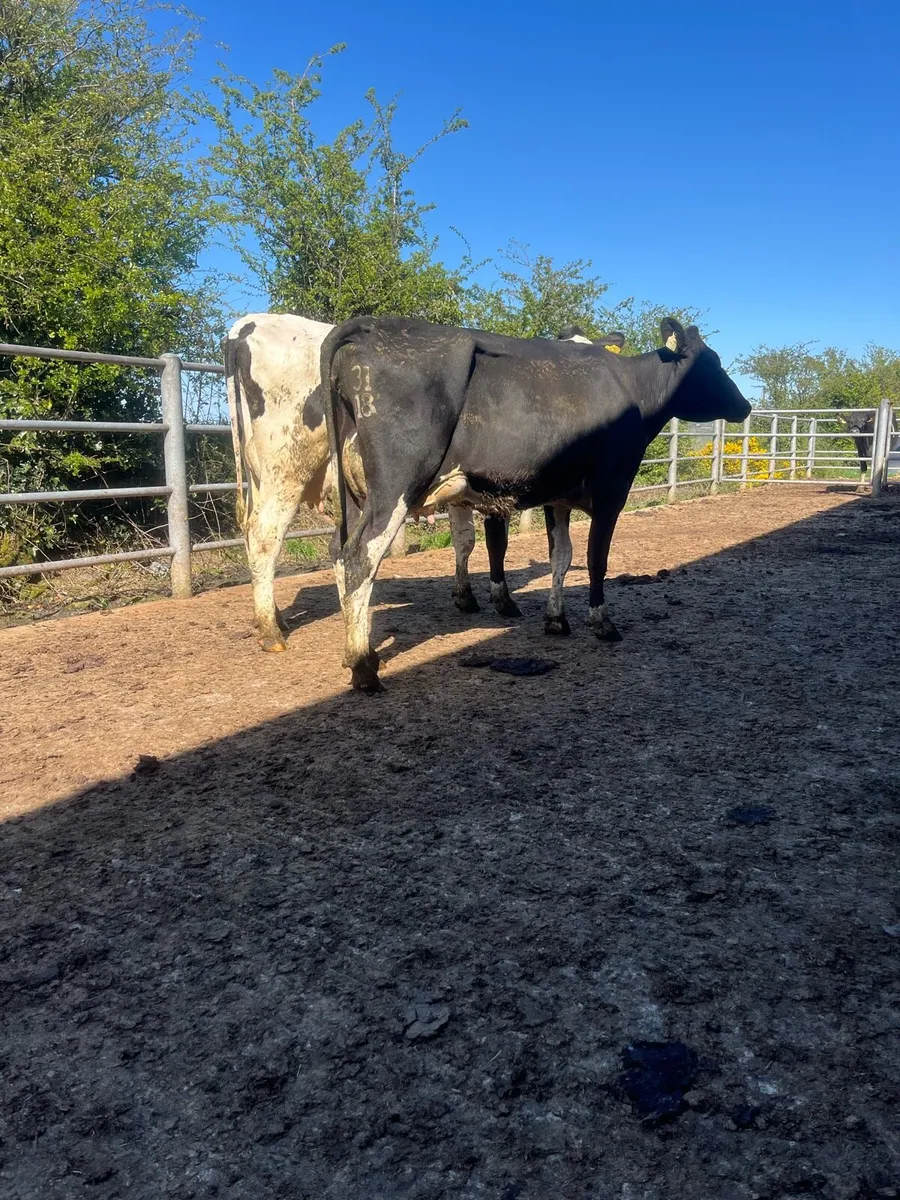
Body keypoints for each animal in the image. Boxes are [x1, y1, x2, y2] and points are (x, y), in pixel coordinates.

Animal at [322, 316, 751, 692]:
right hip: (396, 485)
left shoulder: (557, 498)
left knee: (340, 554)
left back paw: (360, 656)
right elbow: (596, 558)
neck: (632, 388)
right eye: (712, 363)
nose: (745, 406)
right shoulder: (612, 490)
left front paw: (556, 620)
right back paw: (363, 669)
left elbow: (561, 556)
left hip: (356, 495)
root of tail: (371, 325)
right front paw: (602, 622)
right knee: (361, 558)